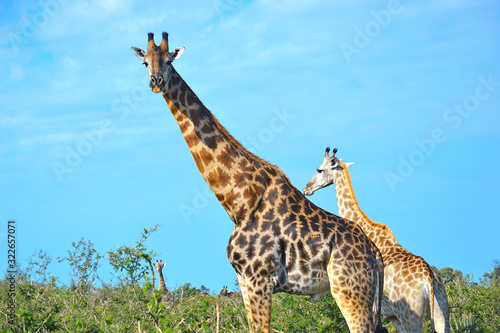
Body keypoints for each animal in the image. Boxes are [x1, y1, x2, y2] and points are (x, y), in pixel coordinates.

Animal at [131, 31, 384, 332]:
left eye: (169, 61)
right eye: (145, 62)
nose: (156, 82)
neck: (238, 202)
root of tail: (375, 254)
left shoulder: (259, 278)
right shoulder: (243, 280)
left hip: (351, 291)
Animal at [302, 148, 452, 332]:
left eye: (319, 169)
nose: (307, 188)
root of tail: (429, 279)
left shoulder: (372, 308)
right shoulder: (393, 317)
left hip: (411, 315)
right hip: (441, 311)